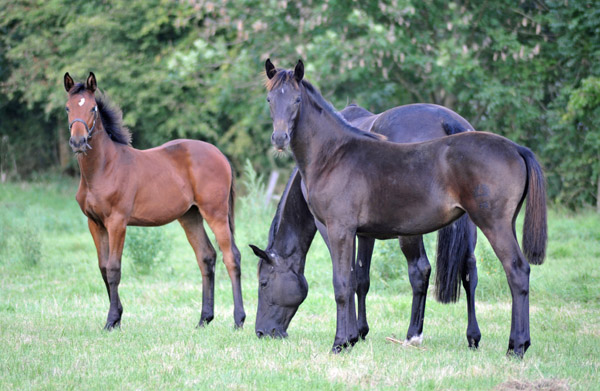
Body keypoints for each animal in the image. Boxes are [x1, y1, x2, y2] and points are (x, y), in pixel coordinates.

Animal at [62, 72, 245, 330]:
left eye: (93, 108)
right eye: (68, 108)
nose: (78, 142)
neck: (103, 168)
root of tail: (220, 154)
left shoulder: (117, 223)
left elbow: (114, 269)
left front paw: (112, 320)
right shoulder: (95, 224)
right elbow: (103, 268)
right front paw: (116, 318)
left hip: (215, 213)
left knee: (232, 257)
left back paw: (239, 320)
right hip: (190, 216)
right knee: (206, 257)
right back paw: (204, 319)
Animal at [250, 102, 482, 350]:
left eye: (263, 283)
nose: (262, 332)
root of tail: (447, 121)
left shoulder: (333, 229)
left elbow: (348, 277)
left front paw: (350, 334)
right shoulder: (364, 234)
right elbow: (361, 279)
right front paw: (360, 330)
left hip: (411, 232)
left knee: (420, 271)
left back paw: (413, 334)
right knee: (469, 270)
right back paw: (472, 336)